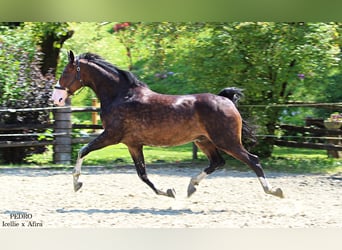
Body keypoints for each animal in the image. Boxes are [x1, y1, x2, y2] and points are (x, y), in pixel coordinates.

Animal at [51, 50, 284, 199]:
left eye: (66, 73)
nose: (56, 99)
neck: (121, 95)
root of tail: (226, 100)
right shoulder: (132, 144)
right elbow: (143, 174)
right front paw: (168, 192)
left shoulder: (112, 136)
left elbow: (82, 150)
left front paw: (77, 183)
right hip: (203, 141)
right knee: (217, 162)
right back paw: (191, 187)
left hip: (227, 141)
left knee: (253, 160)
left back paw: (274, 191)